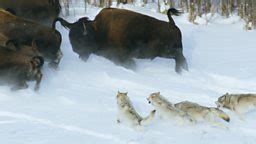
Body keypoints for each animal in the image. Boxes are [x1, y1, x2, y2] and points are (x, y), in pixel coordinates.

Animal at [54, 7, 188, 73]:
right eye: (70, 38)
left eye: (81, 39)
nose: (75, 51)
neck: (99, 31)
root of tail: (173, 25)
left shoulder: (122, 56)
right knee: (181, 60)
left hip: (168, 52)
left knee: (180, 59)